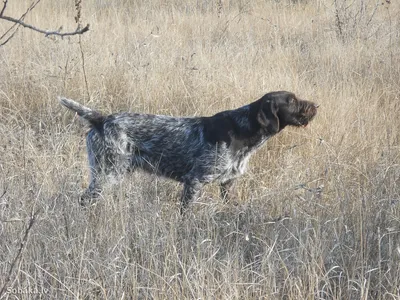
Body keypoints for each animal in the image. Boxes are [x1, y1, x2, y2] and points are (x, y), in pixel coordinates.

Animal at [59, 91, 318, 213]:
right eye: (291, 100)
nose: (316, 105)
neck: (243, 128)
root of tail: (101, 119)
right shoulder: (194, 181)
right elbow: (186, 213)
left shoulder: (227, 184)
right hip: (107, 173)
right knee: (83, 200)